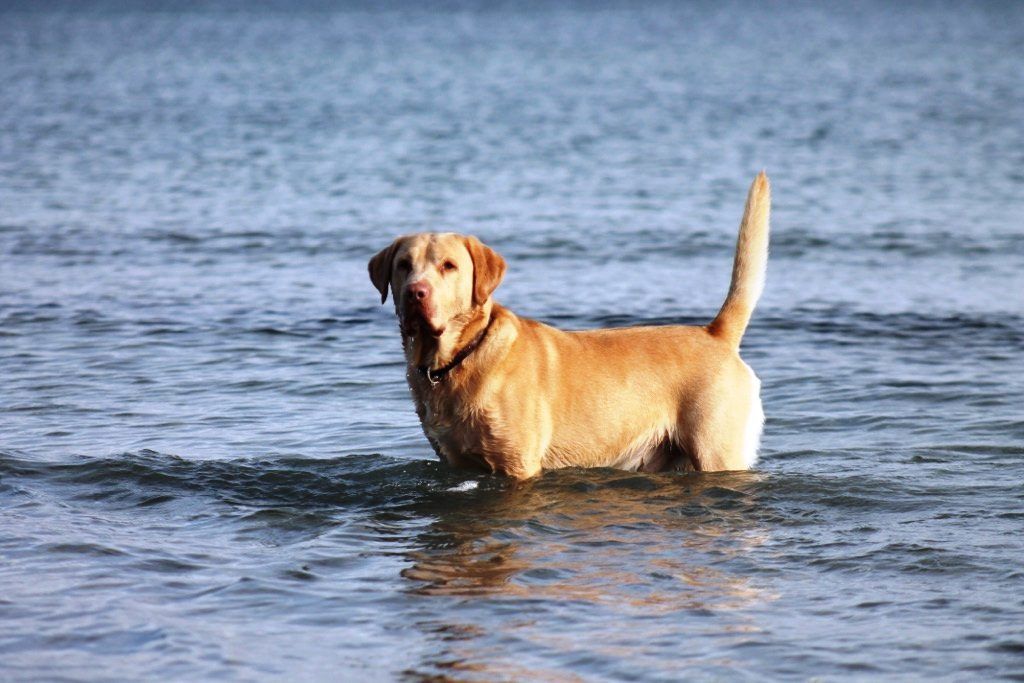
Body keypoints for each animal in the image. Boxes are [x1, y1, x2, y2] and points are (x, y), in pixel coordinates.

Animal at [368, 174, 770, 479]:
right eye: (404, 265)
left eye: (448, 266)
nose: (416, 293)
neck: (458, 359)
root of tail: (715, 333)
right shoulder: (456, 464)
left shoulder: (518, 466)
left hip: (717, 451)